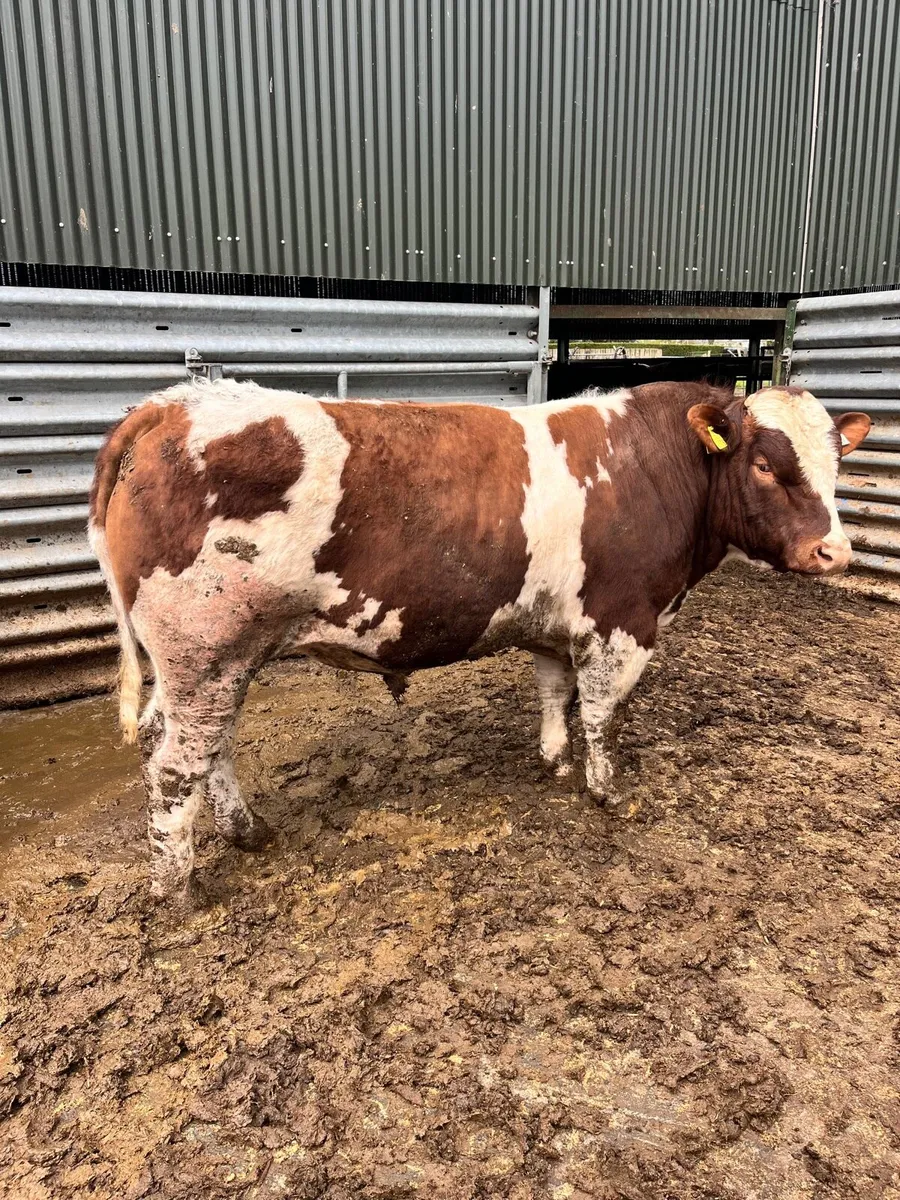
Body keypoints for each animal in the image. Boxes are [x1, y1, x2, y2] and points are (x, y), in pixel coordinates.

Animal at [88, 379, 871, 905]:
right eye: (765, 464)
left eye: (838, 464)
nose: (833, 551)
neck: (652, 469)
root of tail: (171, 404)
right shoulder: (624, 622)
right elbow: (602, 713)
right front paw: (605, 790)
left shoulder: (560, 625)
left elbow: (556, 691)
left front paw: (554, 759)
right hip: (207, 652)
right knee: (175, 767)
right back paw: (179, 889)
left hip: (209, 664)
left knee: (197, 746)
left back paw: (247, 831)